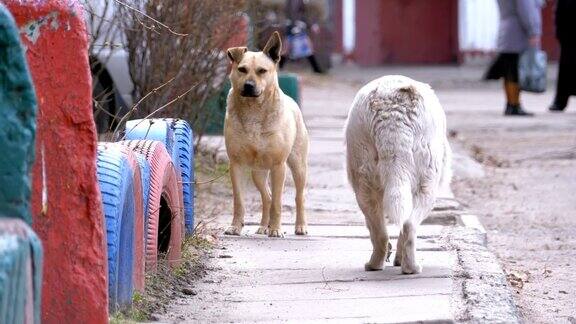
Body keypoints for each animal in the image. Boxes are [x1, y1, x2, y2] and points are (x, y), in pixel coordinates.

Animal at [223, 31, 308, 237]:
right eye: (242, 69)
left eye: (262, 71)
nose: (248, 86)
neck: (253, 109)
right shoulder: (236, 164)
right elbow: (239, 200)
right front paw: (235, 226)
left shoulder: (278, 166)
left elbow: (278, 202)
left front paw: (276, 229)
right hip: (257, 172)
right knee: (266, 196)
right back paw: (263, 226)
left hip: (298, 165)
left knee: (298, 196)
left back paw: (300, 226)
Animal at [344, 75, 452, 274]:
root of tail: (392, 114)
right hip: (427, 182)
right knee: (409, 225)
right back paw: (410, 267)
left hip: (363, 174)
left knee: (381, 232)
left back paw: (375, 264)